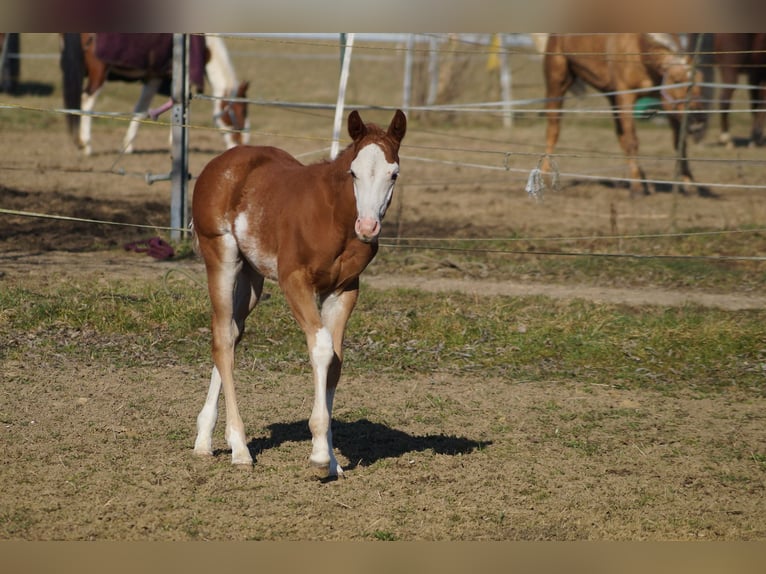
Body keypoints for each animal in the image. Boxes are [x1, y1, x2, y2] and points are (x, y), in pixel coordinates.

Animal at [60, 33, 250, 156]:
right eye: (239, 114)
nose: (242, 145)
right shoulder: (163, 78)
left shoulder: (156, 78)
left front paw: (127, 147)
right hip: (99, 72)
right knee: (87, 100)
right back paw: (85, 145)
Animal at [191, 109, 407, 477]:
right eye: (353, 172)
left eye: (393, 174)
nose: (367, 227)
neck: (334, 217)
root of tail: (219, 164)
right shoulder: (295, 282)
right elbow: (321, 348)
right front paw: (319, 455)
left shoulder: (344, 290)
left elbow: (335, 360)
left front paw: (332, 460)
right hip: (222, 257)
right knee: (221, 336)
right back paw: (240, 448)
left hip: (251, 278)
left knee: (232, 334)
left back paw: (205, 439)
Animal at [542, 33, 708, 196]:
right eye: (677, 80)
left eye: (701, 79)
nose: (698, 121)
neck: (638, 49)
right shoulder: (625, 97)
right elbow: (632, 141)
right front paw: (636, 188)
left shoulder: (664, 102)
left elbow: (679, 143)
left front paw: (690, 184)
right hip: (558, 83)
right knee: (553, 130)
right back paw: (544, 177)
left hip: (611, 95)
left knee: (620, 135)